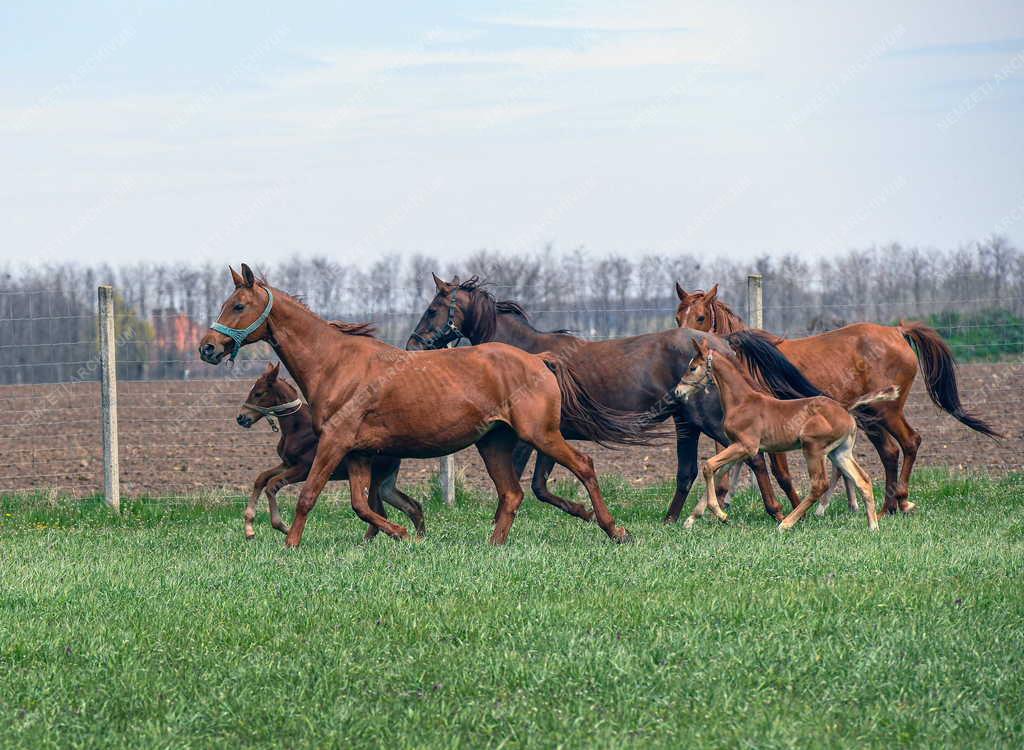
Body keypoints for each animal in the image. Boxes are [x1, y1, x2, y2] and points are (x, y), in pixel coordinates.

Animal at [235, 362, 423, 540]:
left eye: (259, 393)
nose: (241, 418)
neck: (297, 427)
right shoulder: (287, 463)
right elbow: (261, 478)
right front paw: (249, 529)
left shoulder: (303, 468)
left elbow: (272, 484)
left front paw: (282, 526)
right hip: (385, 484)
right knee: (411, 505)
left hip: (375, 481)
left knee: (380, 512)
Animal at [403, 272, 827, 524]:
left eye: (433, 309)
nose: (412, 346)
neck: (526, 354)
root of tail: (719, 342)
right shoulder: (551, 436)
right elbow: (540, 486)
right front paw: (586, 513)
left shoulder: (528, 437)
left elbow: (518, 483)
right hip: (686, 423)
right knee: (690, 470)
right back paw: (672, 521)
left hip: (709, 420)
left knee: (753, 458)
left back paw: (776, 512)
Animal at [671, 282, 999, 516]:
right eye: (677, 316)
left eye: (701, 316)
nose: (683, 345)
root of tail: (897, 330)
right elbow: (728, 469)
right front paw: (714, 509)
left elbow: (778, 472)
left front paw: (789, 510)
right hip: (869, 418)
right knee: (890, 452)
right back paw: (886, 507)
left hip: (887, 411)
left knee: (909, 443)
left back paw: (901, 501)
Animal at [679, 336, 897, 536]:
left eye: (692, 367)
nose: (678, 390)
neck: (742, 401)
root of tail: (845, 408)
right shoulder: (737, 448)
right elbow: (717, 473)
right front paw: (692, 519)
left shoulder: (746, 446)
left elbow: (708, 466)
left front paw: (720, 514)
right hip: (840, 453)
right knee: (863, 480)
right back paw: (873, 526)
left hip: (813, 448)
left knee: (819, 485)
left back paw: (786, 523)